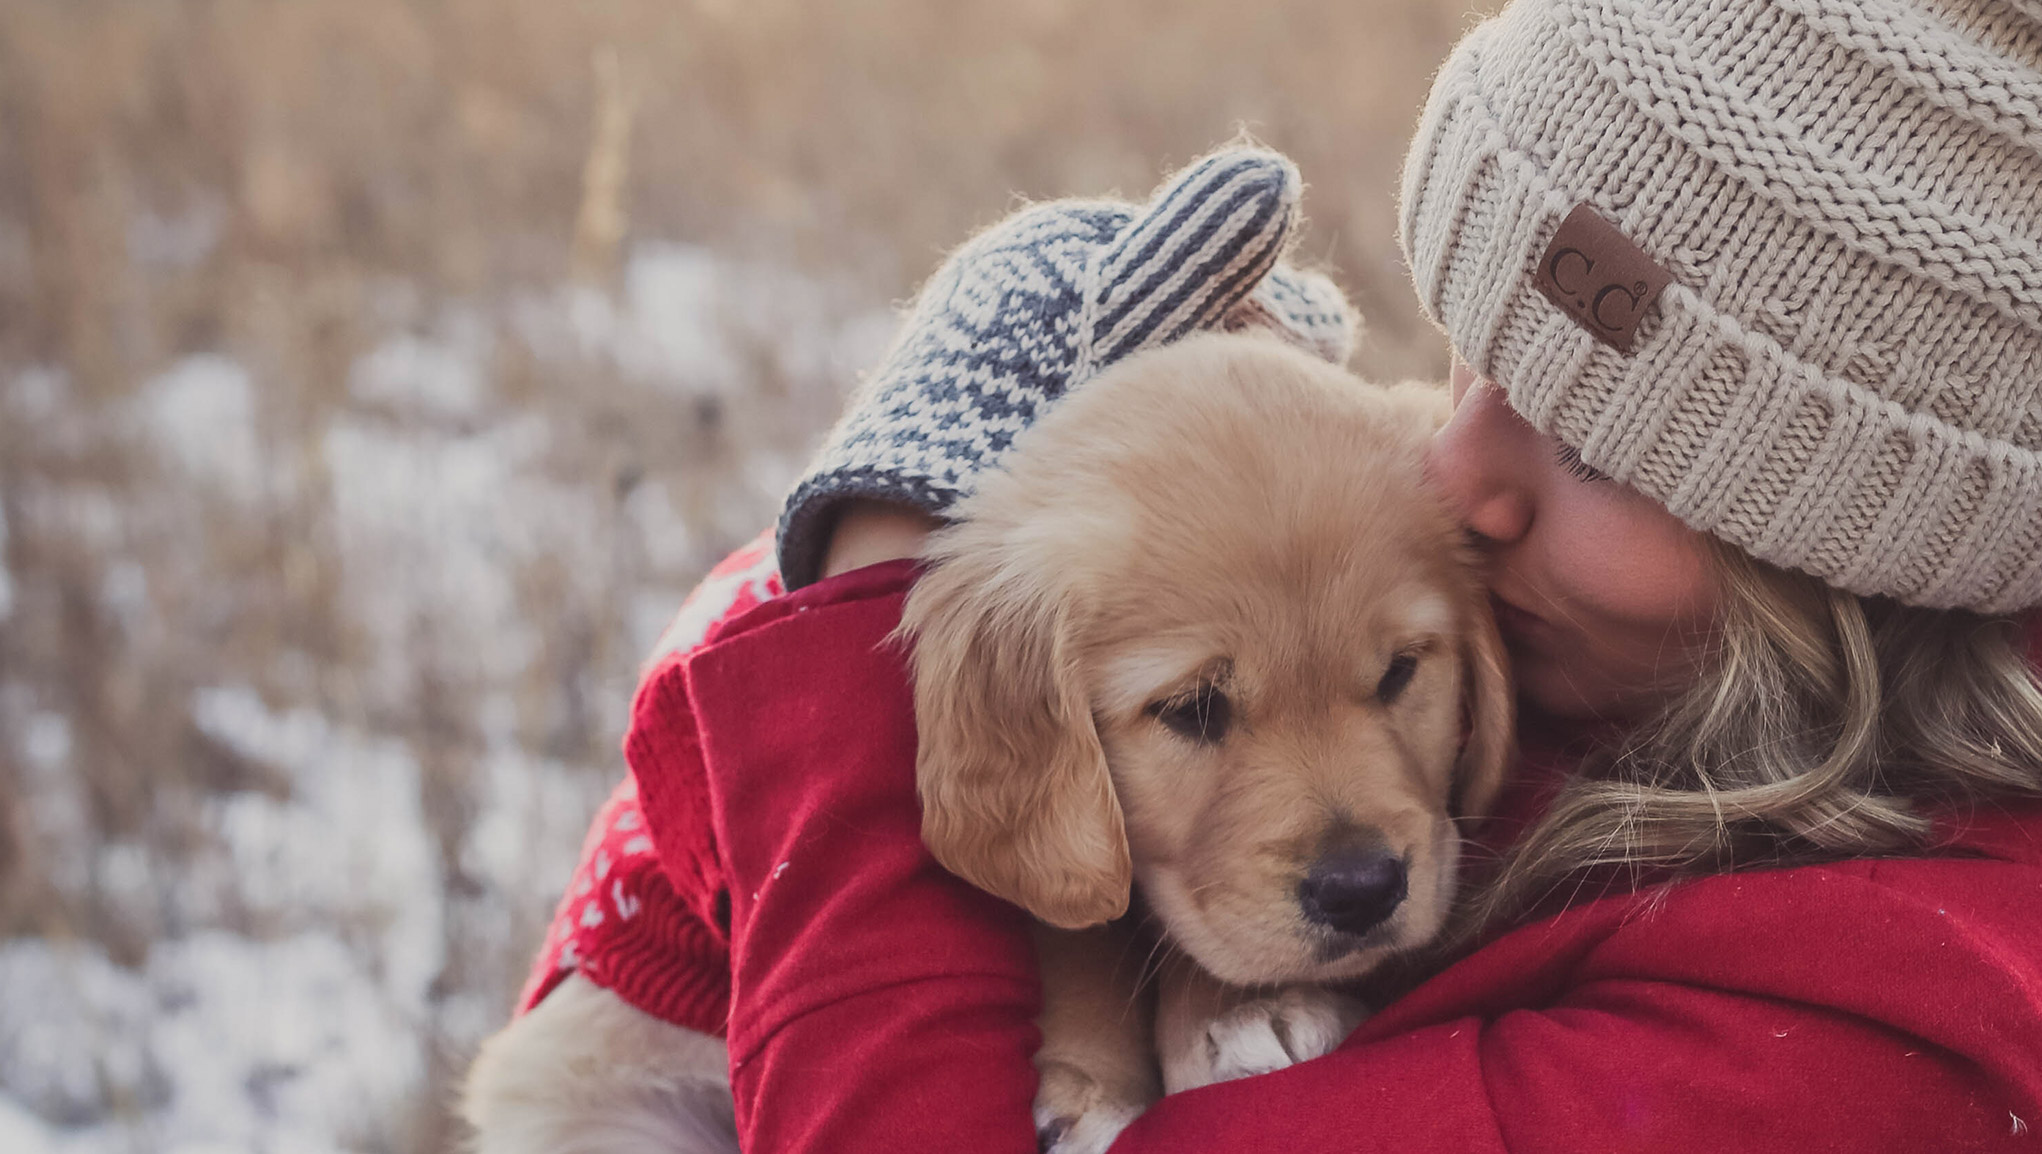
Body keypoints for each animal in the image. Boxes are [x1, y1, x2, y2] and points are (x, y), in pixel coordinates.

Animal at [910, 328, 1519, 1143]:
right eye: (1193, 709)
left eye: (1398, 672)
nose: (1361, 890)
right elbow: (1076, 928)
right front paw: (1090, 1082)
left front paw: (1245, 1006)